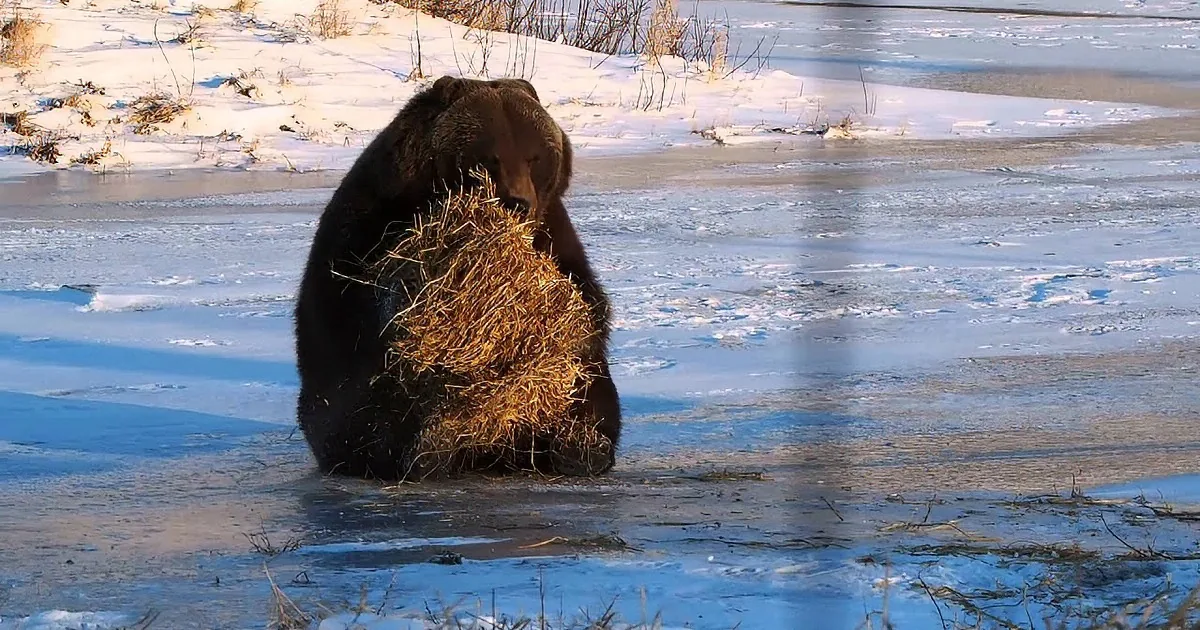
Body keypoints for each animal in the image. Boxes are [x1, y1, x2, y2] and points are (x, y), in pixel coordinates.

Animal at [292, 75, 621, 482]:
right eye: (490, 157)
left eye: (535, 156)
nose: (517, 201)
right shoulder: (372, 220)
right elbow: (361, 303)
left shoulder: (553, 233)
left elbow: (586, 314)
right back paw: (430, 449)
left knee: (595, 397)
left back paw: (577, 445)